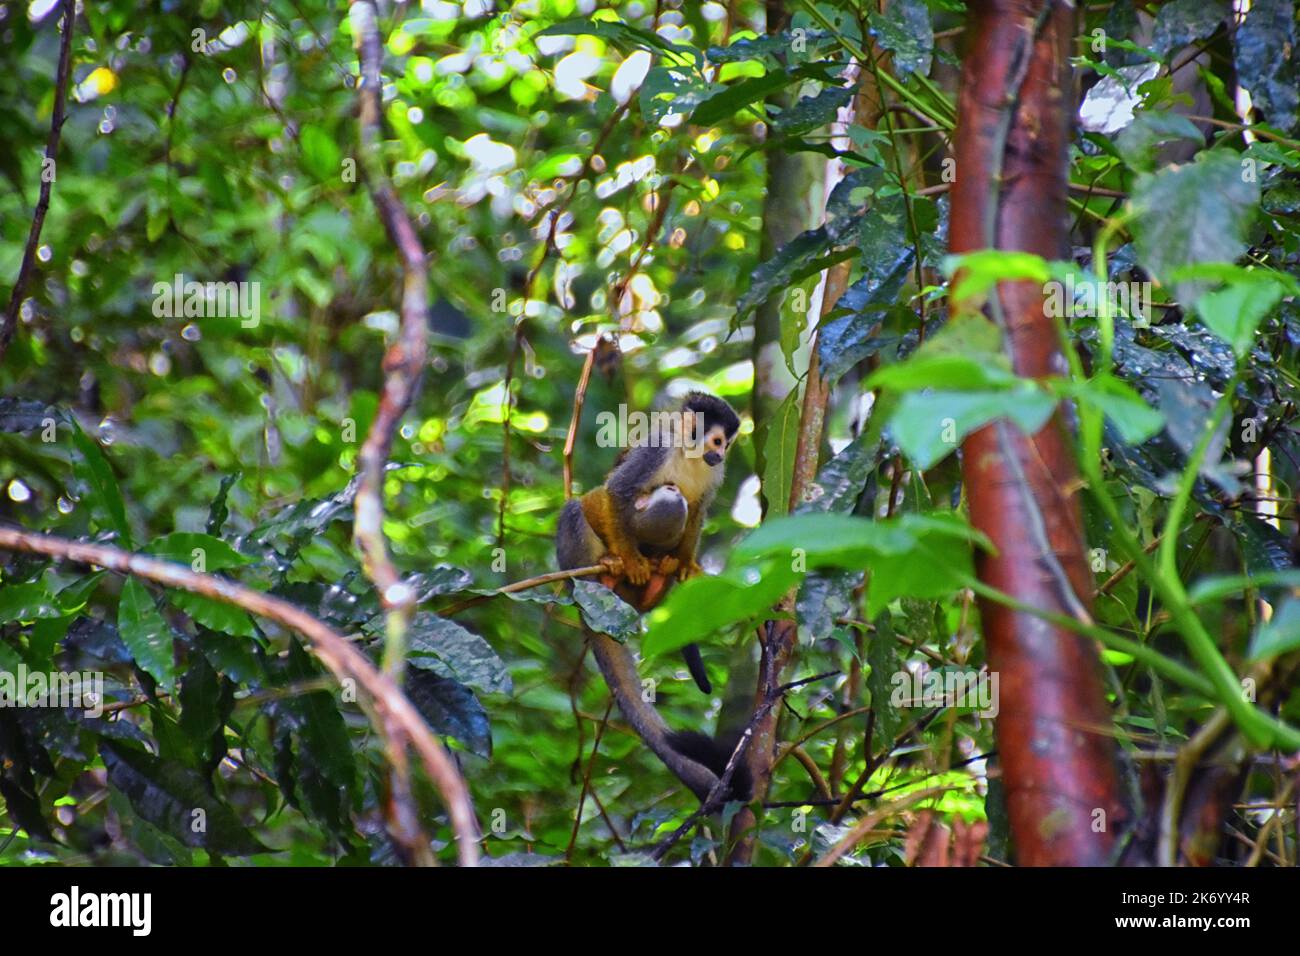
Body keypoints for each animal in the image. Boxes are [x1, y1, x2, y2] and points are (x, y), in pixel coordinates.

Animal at [555, 391, 751, 804]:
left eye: (726, 446)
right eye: (716, 441)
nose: (719, 455)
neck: (689, 453)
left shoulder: (714, 476)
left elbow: (699, 510)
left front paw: (686, 563)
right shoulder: (655, 450)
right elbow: (614, 492)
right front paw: (629, 559)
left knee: (682, 505)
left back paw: (661, 574)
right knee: (586, 507)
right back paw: (606, 571)